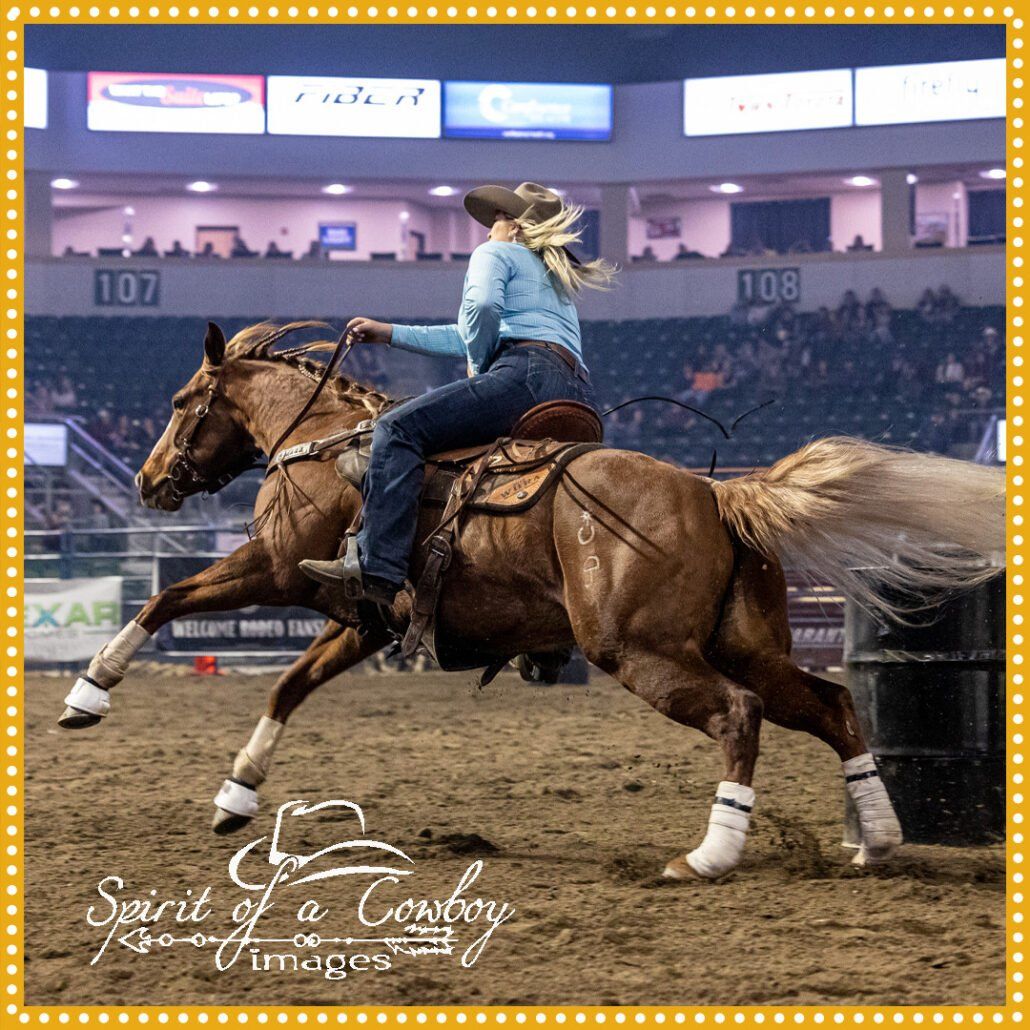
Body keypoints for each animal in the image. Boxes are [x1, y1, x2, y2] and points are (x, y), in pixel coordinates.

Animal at [58, 321, 1005, 877]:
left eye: (183, 400)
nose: (147, 481)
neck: (326, 444)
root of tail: (712, 493)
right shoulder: (364, 616)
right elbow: (288, 685)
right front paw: (236, 794)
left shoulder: (283, 569)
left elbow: (167, 600)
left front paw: (88, 695)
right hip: (749, 646)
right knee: (835, 706)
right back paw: (876, 838)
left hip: (643, 652)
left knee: (738, 715)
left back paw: (709, 854)